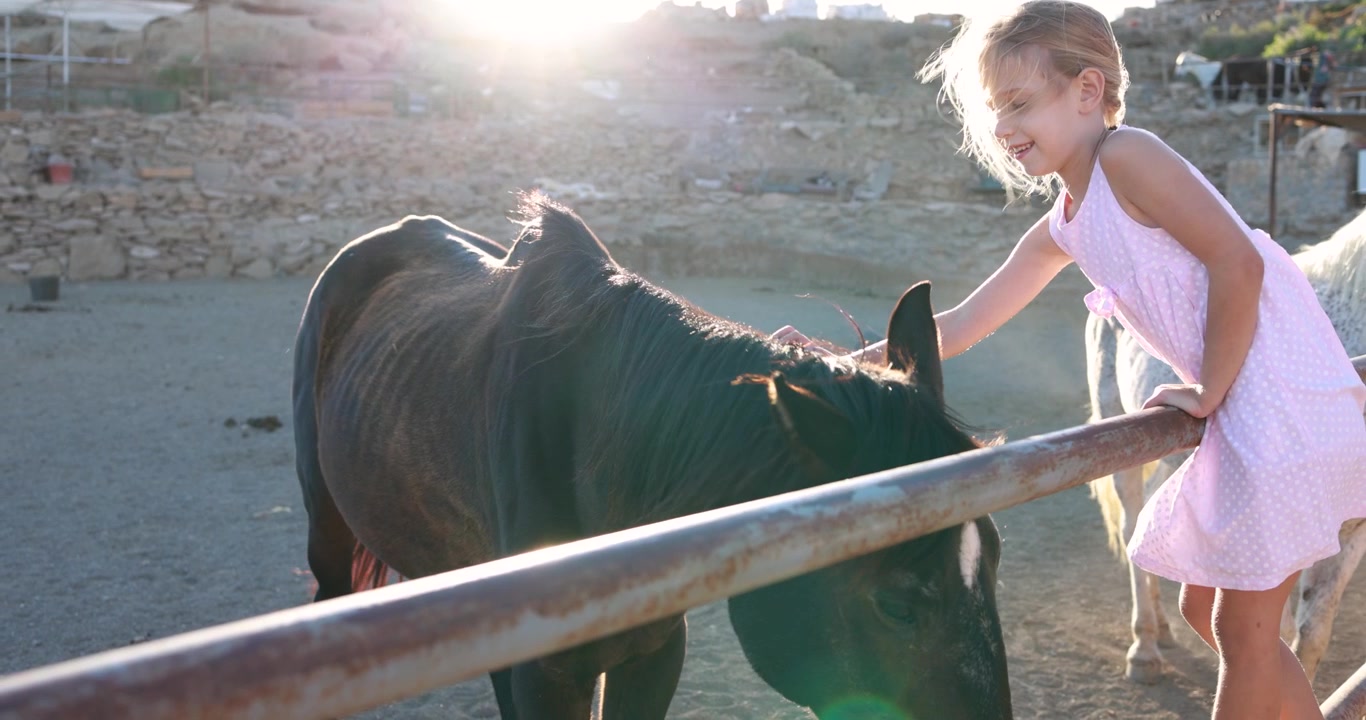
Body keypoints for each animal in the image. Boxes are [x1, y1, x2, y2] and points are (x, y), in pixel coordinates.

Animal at [1087, 210, 1366, 685]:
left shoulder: (1352, 527)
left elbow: (1312, 635)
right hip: (1120, 437)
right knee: (1129, 525)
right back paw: (1144, 649)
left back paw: (1163, 630)